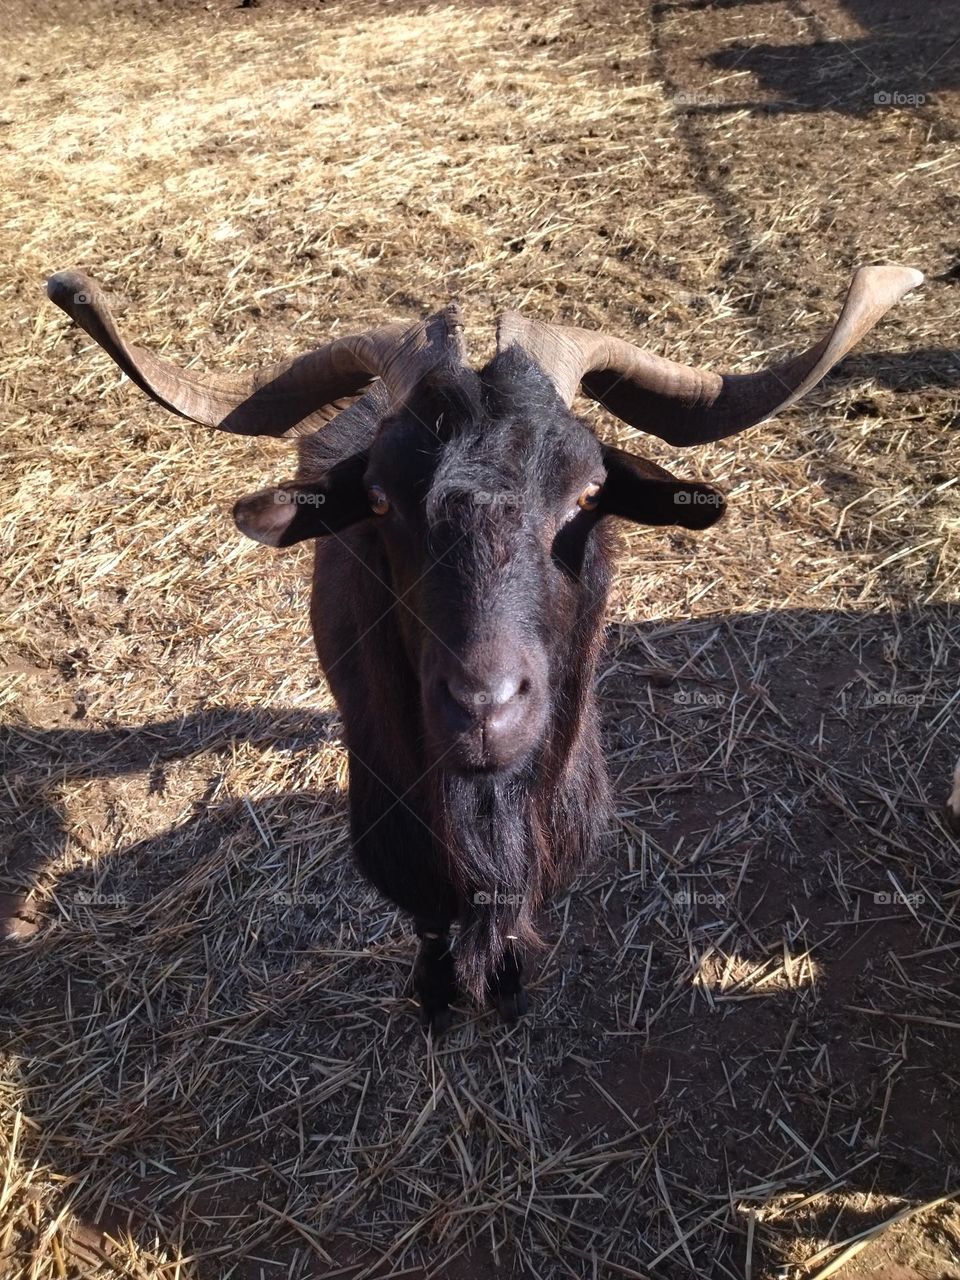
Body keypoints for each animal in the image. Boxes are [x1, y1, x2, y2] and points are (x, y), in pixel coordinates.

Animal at [48, 264, 922, 1029]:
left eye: (588, 493)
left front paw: (508, 995)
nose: (482, 709)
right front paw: (439, 1004)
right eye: (378, 497)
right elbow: (431, 921)